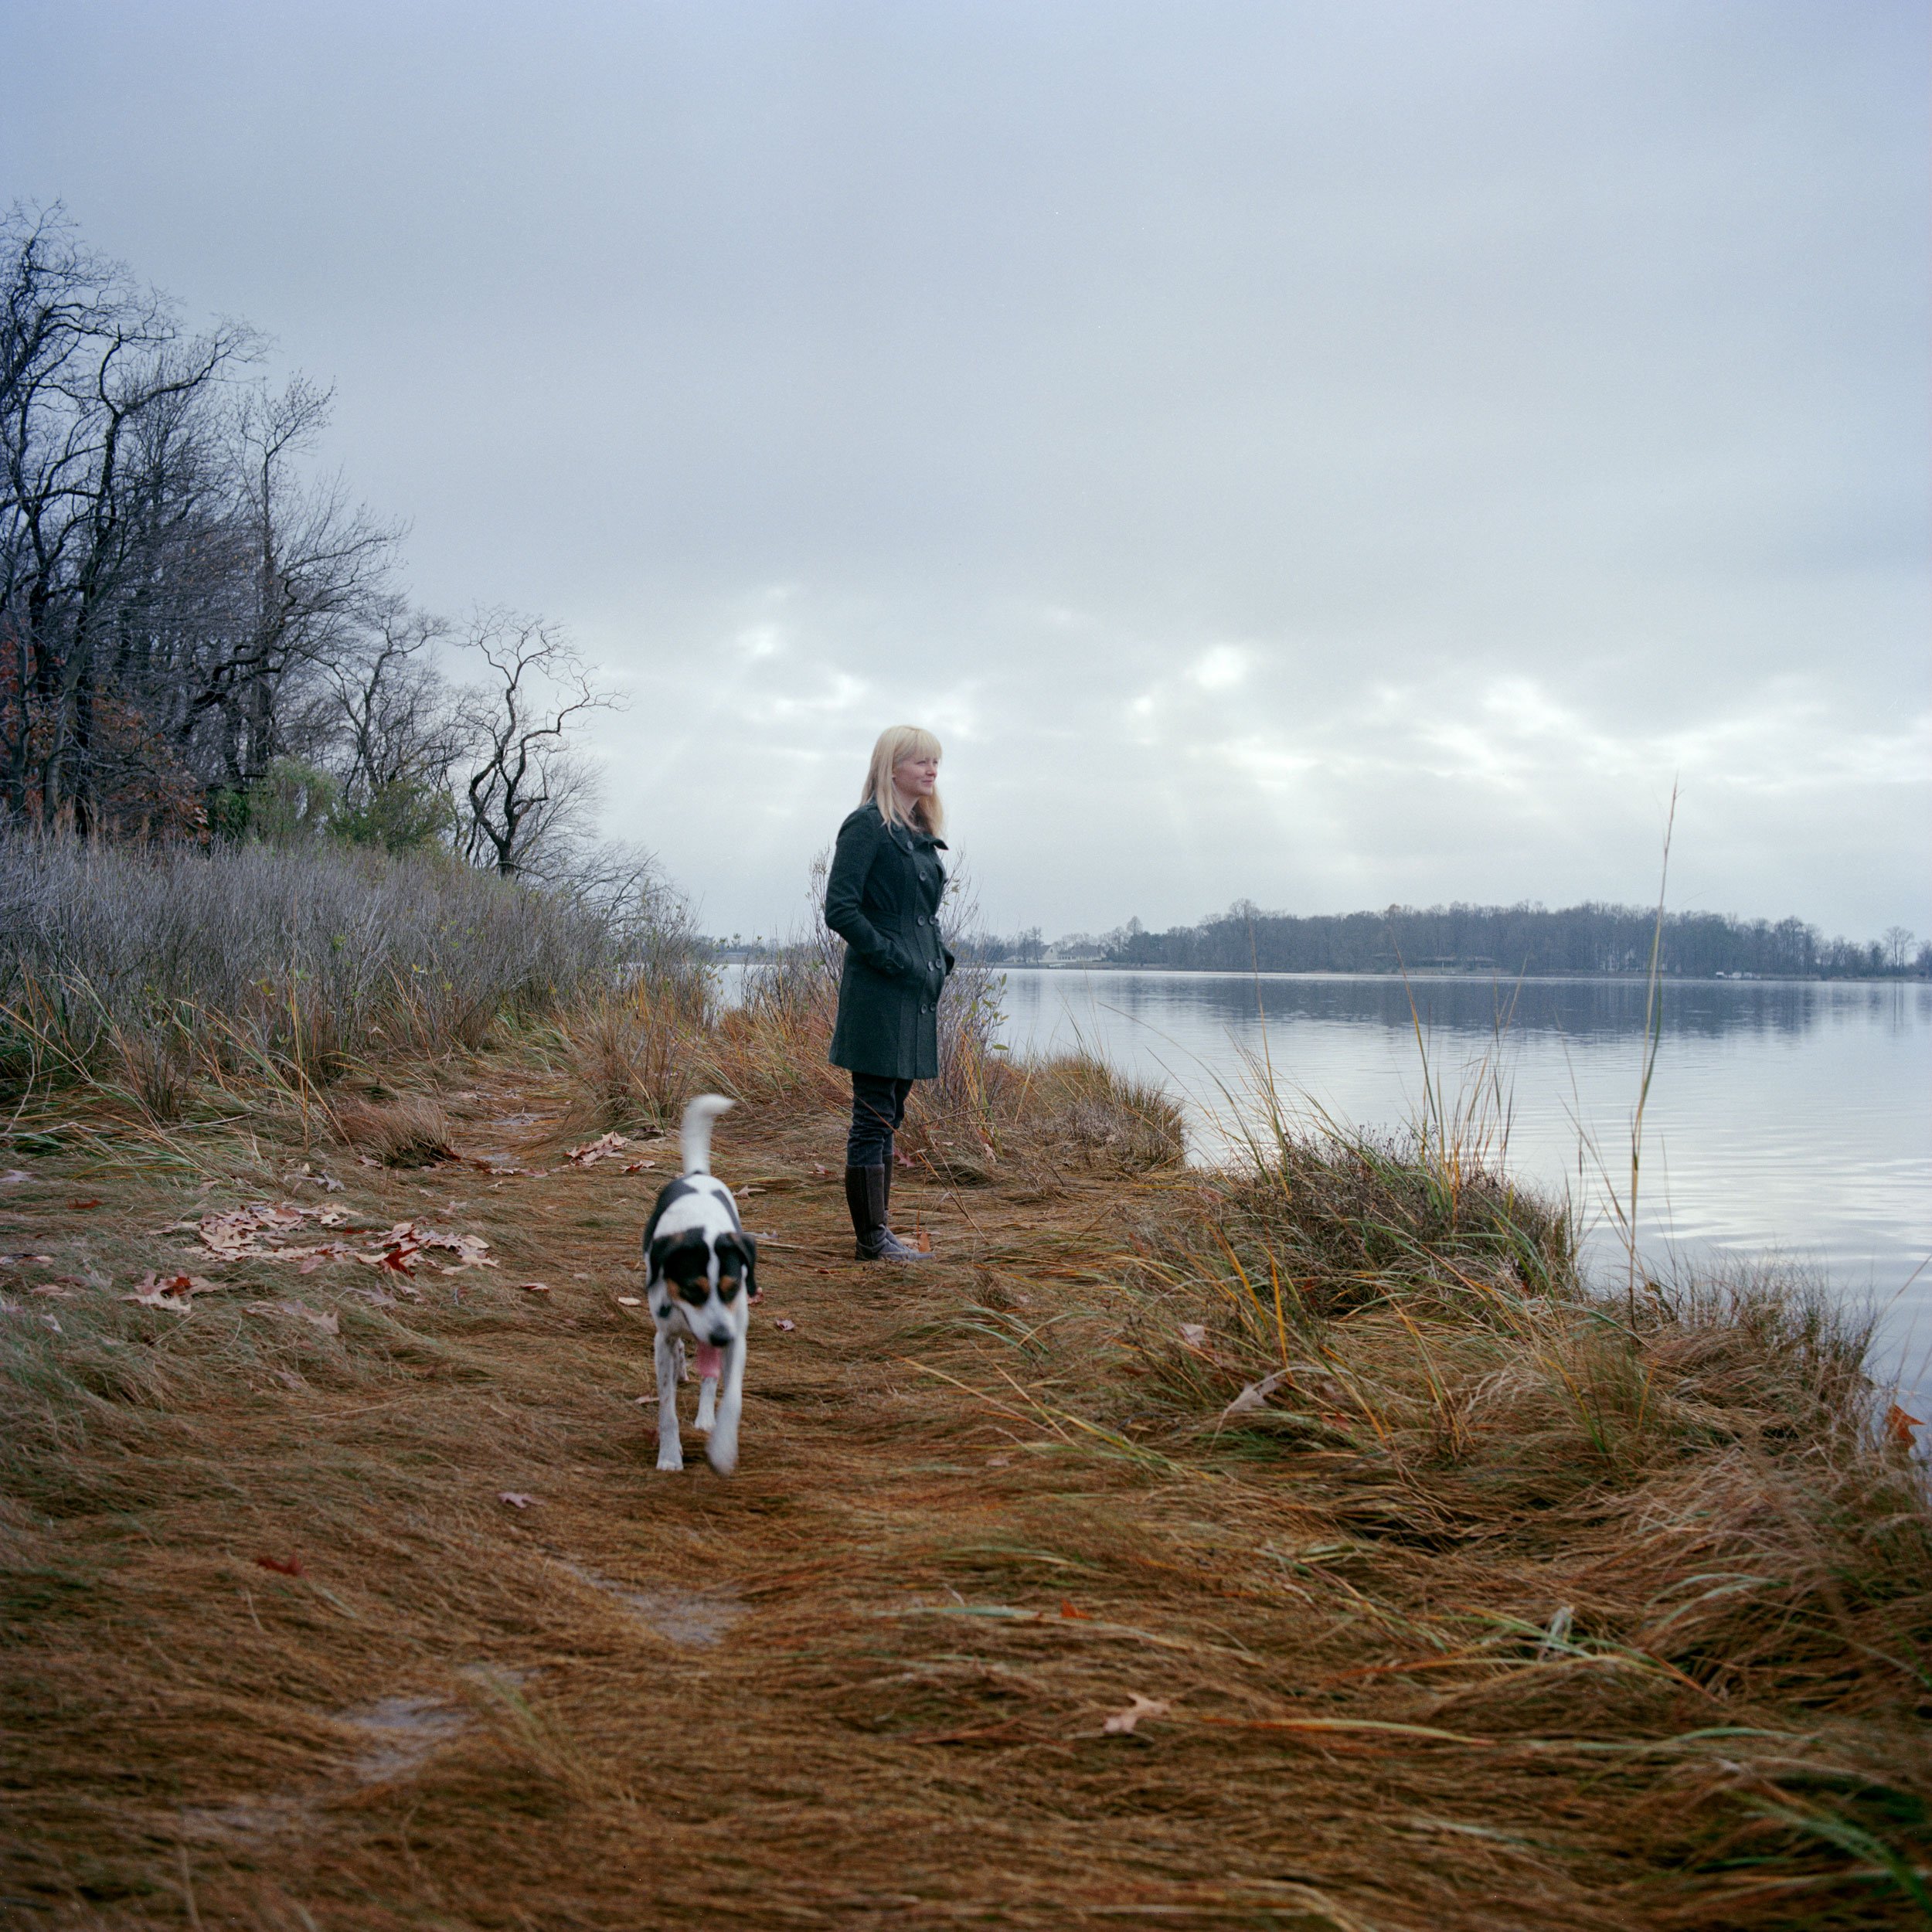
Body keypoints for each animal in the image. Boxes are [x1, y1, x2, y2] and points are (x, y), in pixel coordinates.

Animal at [638, 1097, 750, 1468]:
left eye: (733, 1287)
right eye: (691, 1290)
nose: (720, 1336)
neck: (699, 1228)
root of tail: (698, 1176)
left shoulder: (736, 1336)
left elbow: (731, 1397)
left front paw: (722, 1446)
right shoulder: (663, 1337)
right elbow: (667, 1411)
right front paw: (670, 1457)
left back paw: (704, 1416)